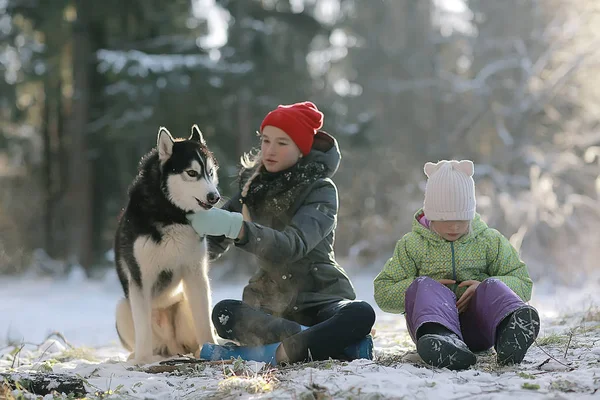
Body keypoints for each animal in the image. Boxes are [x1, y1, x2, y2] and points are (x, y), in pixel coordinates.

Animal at [113, 125, 219, 366]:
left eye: (210, 172)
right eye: (192, 173)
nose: (214, 197)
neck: (172, 215)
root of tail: (173, 346)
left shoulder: (196, 273)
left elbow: (204, 323)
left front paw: (211, 349)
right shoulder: (141, 278)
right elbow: (143, 328)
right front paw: (142, 361)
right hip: (122, 308)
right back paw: (138, 355)